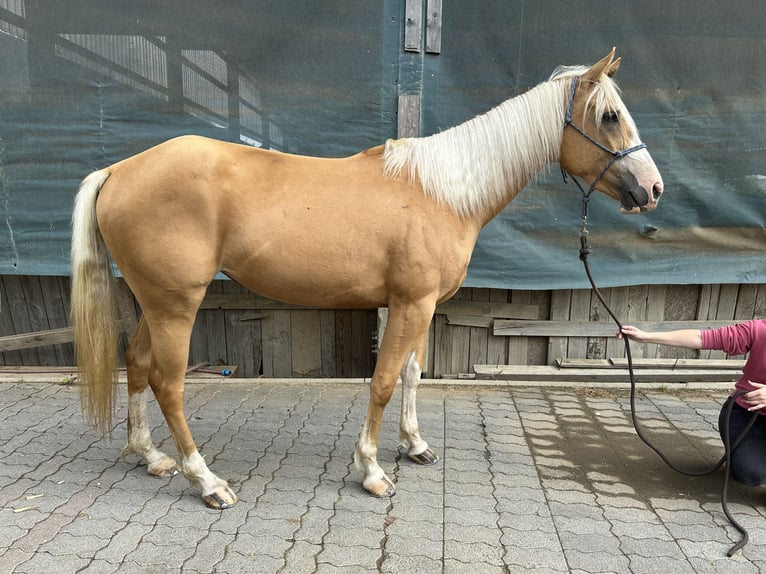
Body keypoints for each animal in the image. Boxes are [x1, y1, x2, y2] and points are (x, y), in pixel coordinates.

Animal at [69, 49, 664, 508]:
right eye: (610, 116)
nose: (653, 189)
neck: (440, 192)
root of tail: (118, 170)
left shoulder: (418, 305)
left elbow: (411, 375)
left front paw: (414, 446)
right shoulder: (409, 304)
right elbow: (382, 381)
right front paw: (373, 470)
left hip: (153, 302)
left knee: (136, 365)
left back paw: (150, 456)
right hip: (176, 305)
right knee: (168, 383)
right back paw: (207, 481)